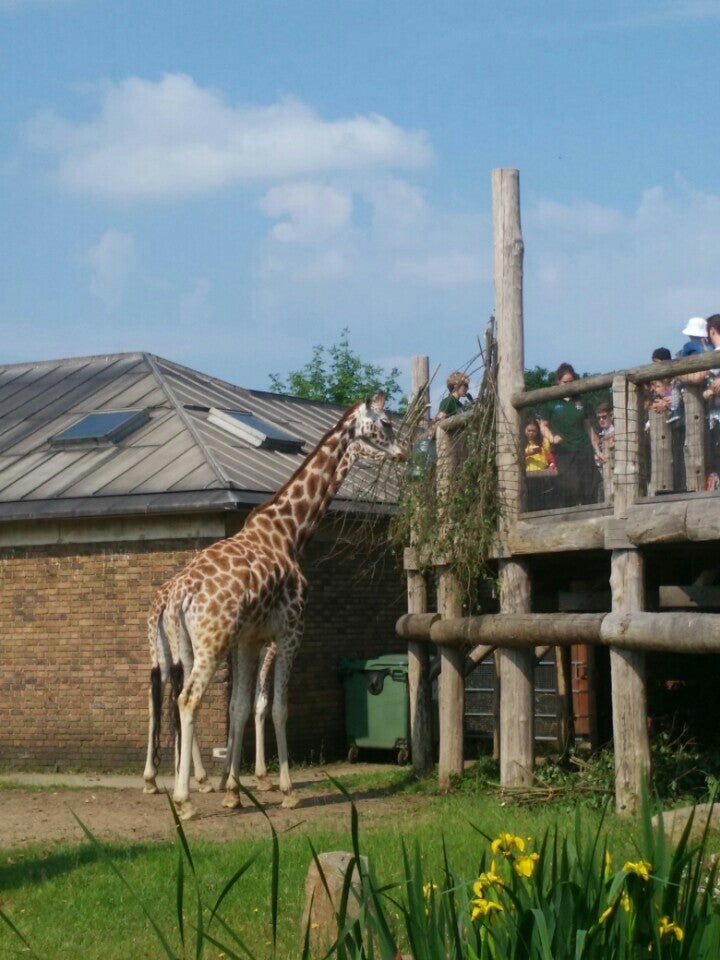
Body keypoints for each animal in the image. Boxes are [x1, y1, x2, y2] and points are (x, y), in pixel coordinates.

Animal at [143, 394, 408, 820]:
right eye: (385, 423)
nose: (404, 450)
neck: (289, 532)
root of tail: (179, 593)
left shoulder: (249, 640)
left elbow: (238, 708)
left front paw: (233, 791)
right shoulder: (290, 633)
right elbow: (277, 707)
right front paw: (284, 789)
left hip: (185, 644)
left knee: (173, 692)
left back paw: (178, 786)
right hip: (211, 643)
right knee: (188, 699)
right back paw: (184, 799)